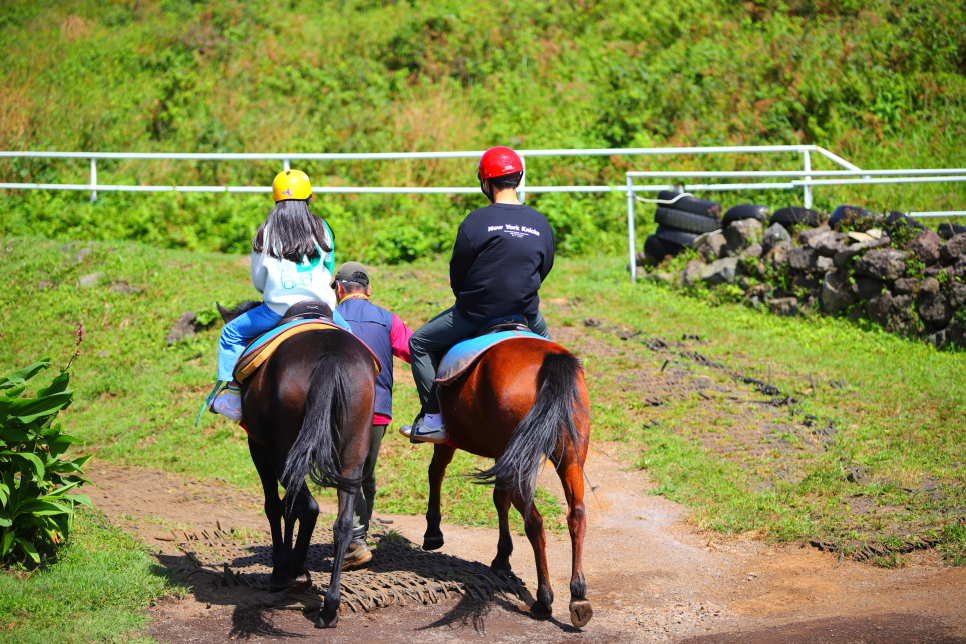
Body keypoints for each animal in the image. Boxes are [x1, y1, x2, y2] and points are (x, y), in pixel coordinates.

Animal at [223, 304, 378, 628]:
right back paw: (329, 606)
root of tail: (331, 354)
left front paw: (280, 573)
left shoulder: (258, 446)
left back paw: (295, 574)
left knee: (308, 506)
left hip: (281, 449)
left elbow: (275, 506)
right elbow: (289, 505)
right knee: (342, 522)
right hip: (353, 450)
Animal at [428, 340, 592, 628]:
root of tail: (552, 360)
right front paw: (502, 558)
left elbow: (437, 472)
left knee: (534, 522)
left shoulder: (449, 439)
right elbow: (499, 498)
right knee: (576, 515)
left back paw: (543, 601)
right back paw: (578, 596)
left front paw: (433, 532)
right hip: (571, 455)